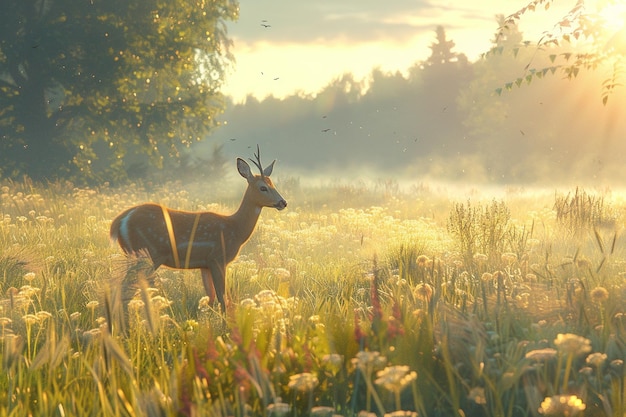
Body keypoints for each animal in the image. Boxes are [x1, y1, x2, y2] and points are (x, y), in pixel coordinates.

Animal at [111, 147, 286, 312]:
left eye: (273, 184)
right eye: (263, 188)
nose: (283, 202)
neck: (235, 229)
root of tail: (120, 221)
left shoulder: (205, 264)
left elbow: (211, 298)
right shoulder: (217, 258)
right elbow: (223, 299)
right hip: (146, 254)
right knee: (126, 289)